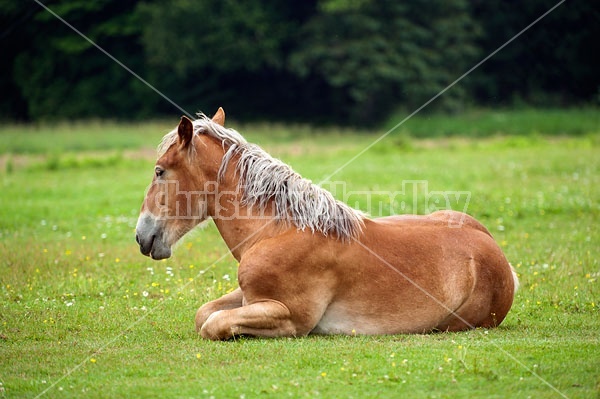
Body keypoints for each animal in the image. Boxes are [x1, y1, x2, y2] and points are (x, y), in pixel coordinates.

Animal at [135, 107, 516, 340]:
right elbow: (204, 314)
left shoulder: (288, 315)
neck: (277, 231)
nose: (141, 235)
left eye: (159, 171)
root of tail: (497, 256)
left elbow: (212, 324)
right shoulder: (249, 296)